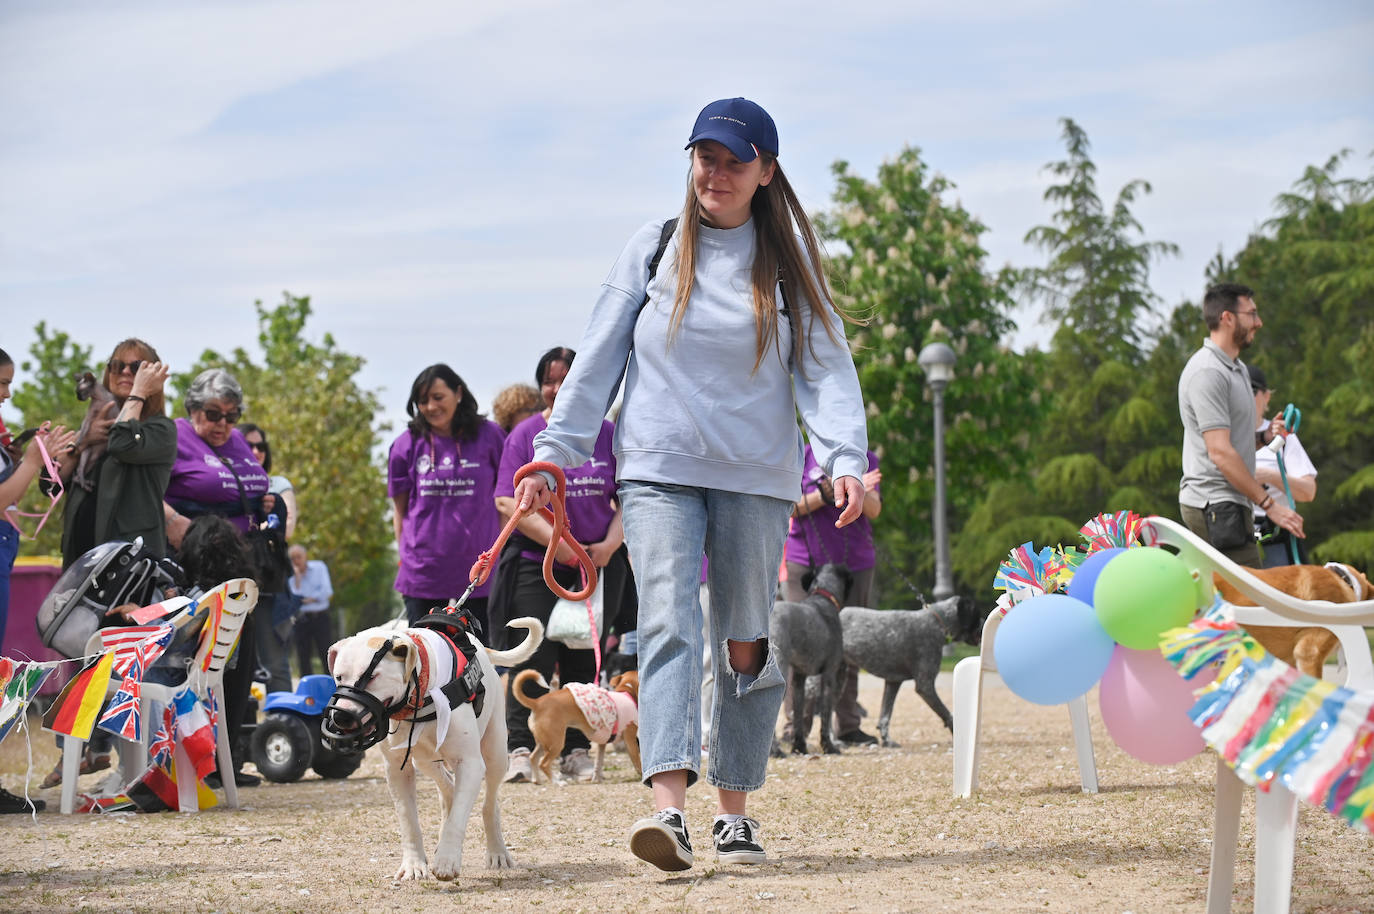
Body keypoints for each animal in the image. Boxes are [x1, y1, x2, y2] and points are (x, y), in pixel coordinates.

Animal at [329, 615, 544, 879]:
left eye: (372, 676)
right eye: (339, 677)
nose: (341, 717)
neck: (420, 693)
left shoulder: (470, 763)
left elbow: (458, 817)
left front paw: (447, 860)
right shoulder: (397, 769)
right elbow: (409, 820)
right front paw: (414, 865)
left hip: (495, 755)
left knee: (488, 804)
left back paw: (497, 852)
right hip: (425, 760)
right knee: (449, 789)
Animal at [769, 563, 851, 753]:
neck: (823, 598)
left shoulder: (800, 678)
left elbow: (799, 715)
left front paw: (799, 746)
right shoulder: (829, 674)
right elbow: (826, 716)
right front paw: (829, 746)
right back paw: (775, 750)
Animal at [835, 596, 989, 747]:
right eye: (977, 613)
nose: (984, 624)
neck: (936, 622)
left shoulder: (893, 682)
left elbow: (885, 717)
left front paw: (887, 741)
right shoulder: (925, 686)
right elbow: (949, 715)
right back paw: (836, 743)